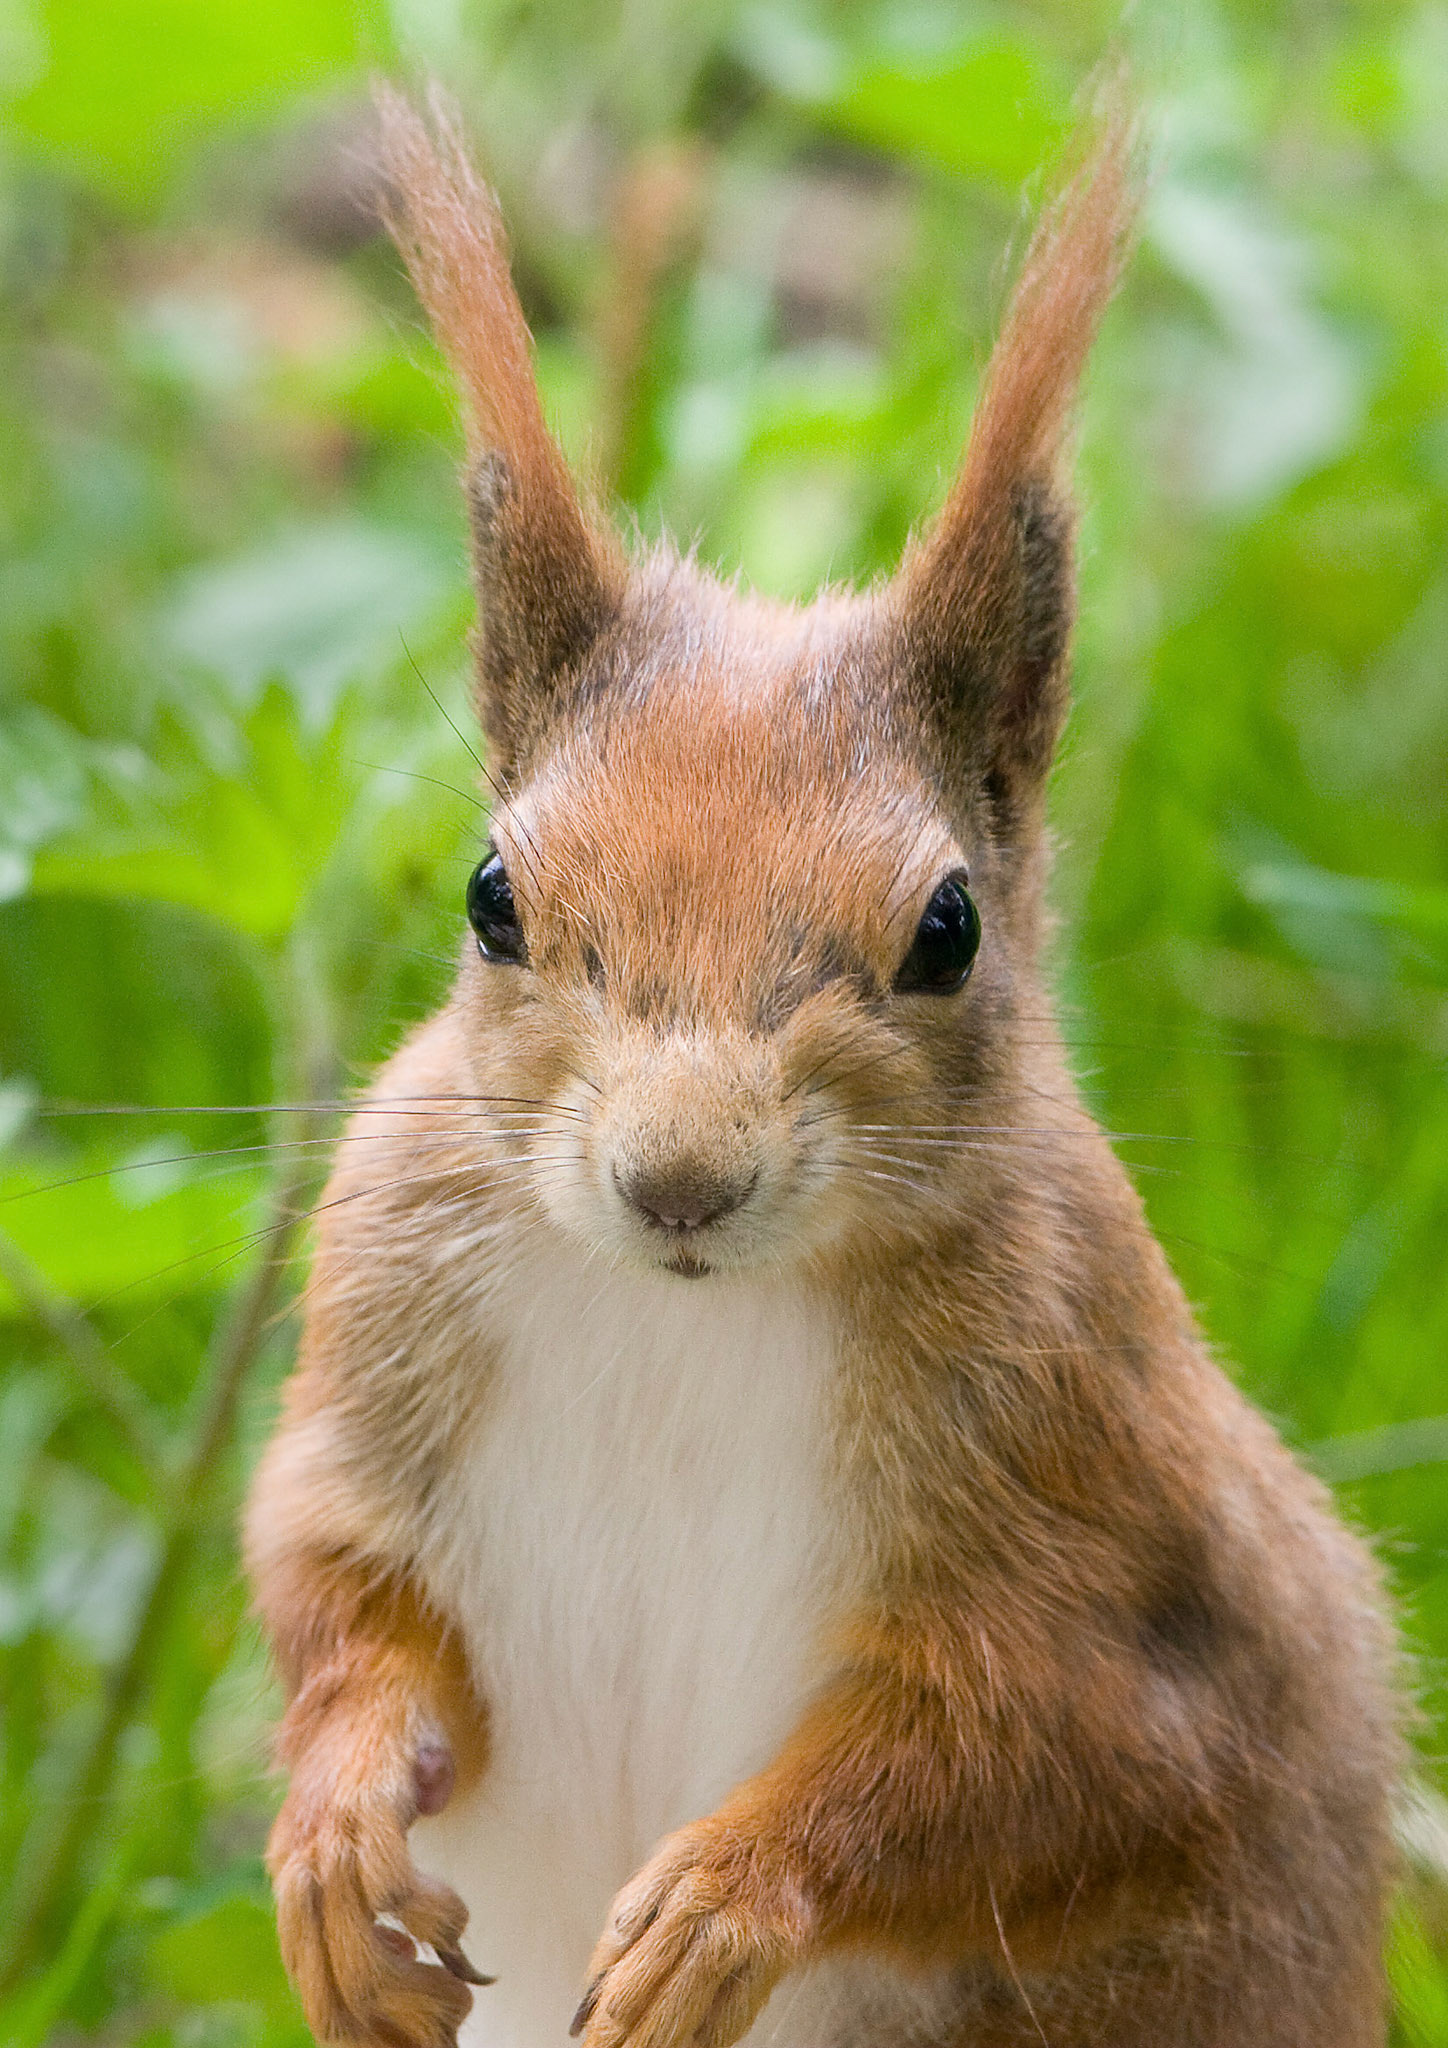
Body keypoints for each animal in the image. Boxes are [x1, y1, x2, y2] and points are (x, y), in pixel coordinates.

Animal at [244, 86, 1403, 2048]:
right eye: (490, 896)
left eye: (946, 928)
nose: (677, 1180)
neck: (680, 1321)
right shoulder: (375, 1347)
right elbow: (335, 1584)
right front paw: (334, 1838)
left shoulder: (1103, 1506)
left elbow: (1043, 1749)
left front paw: (724, 1899)